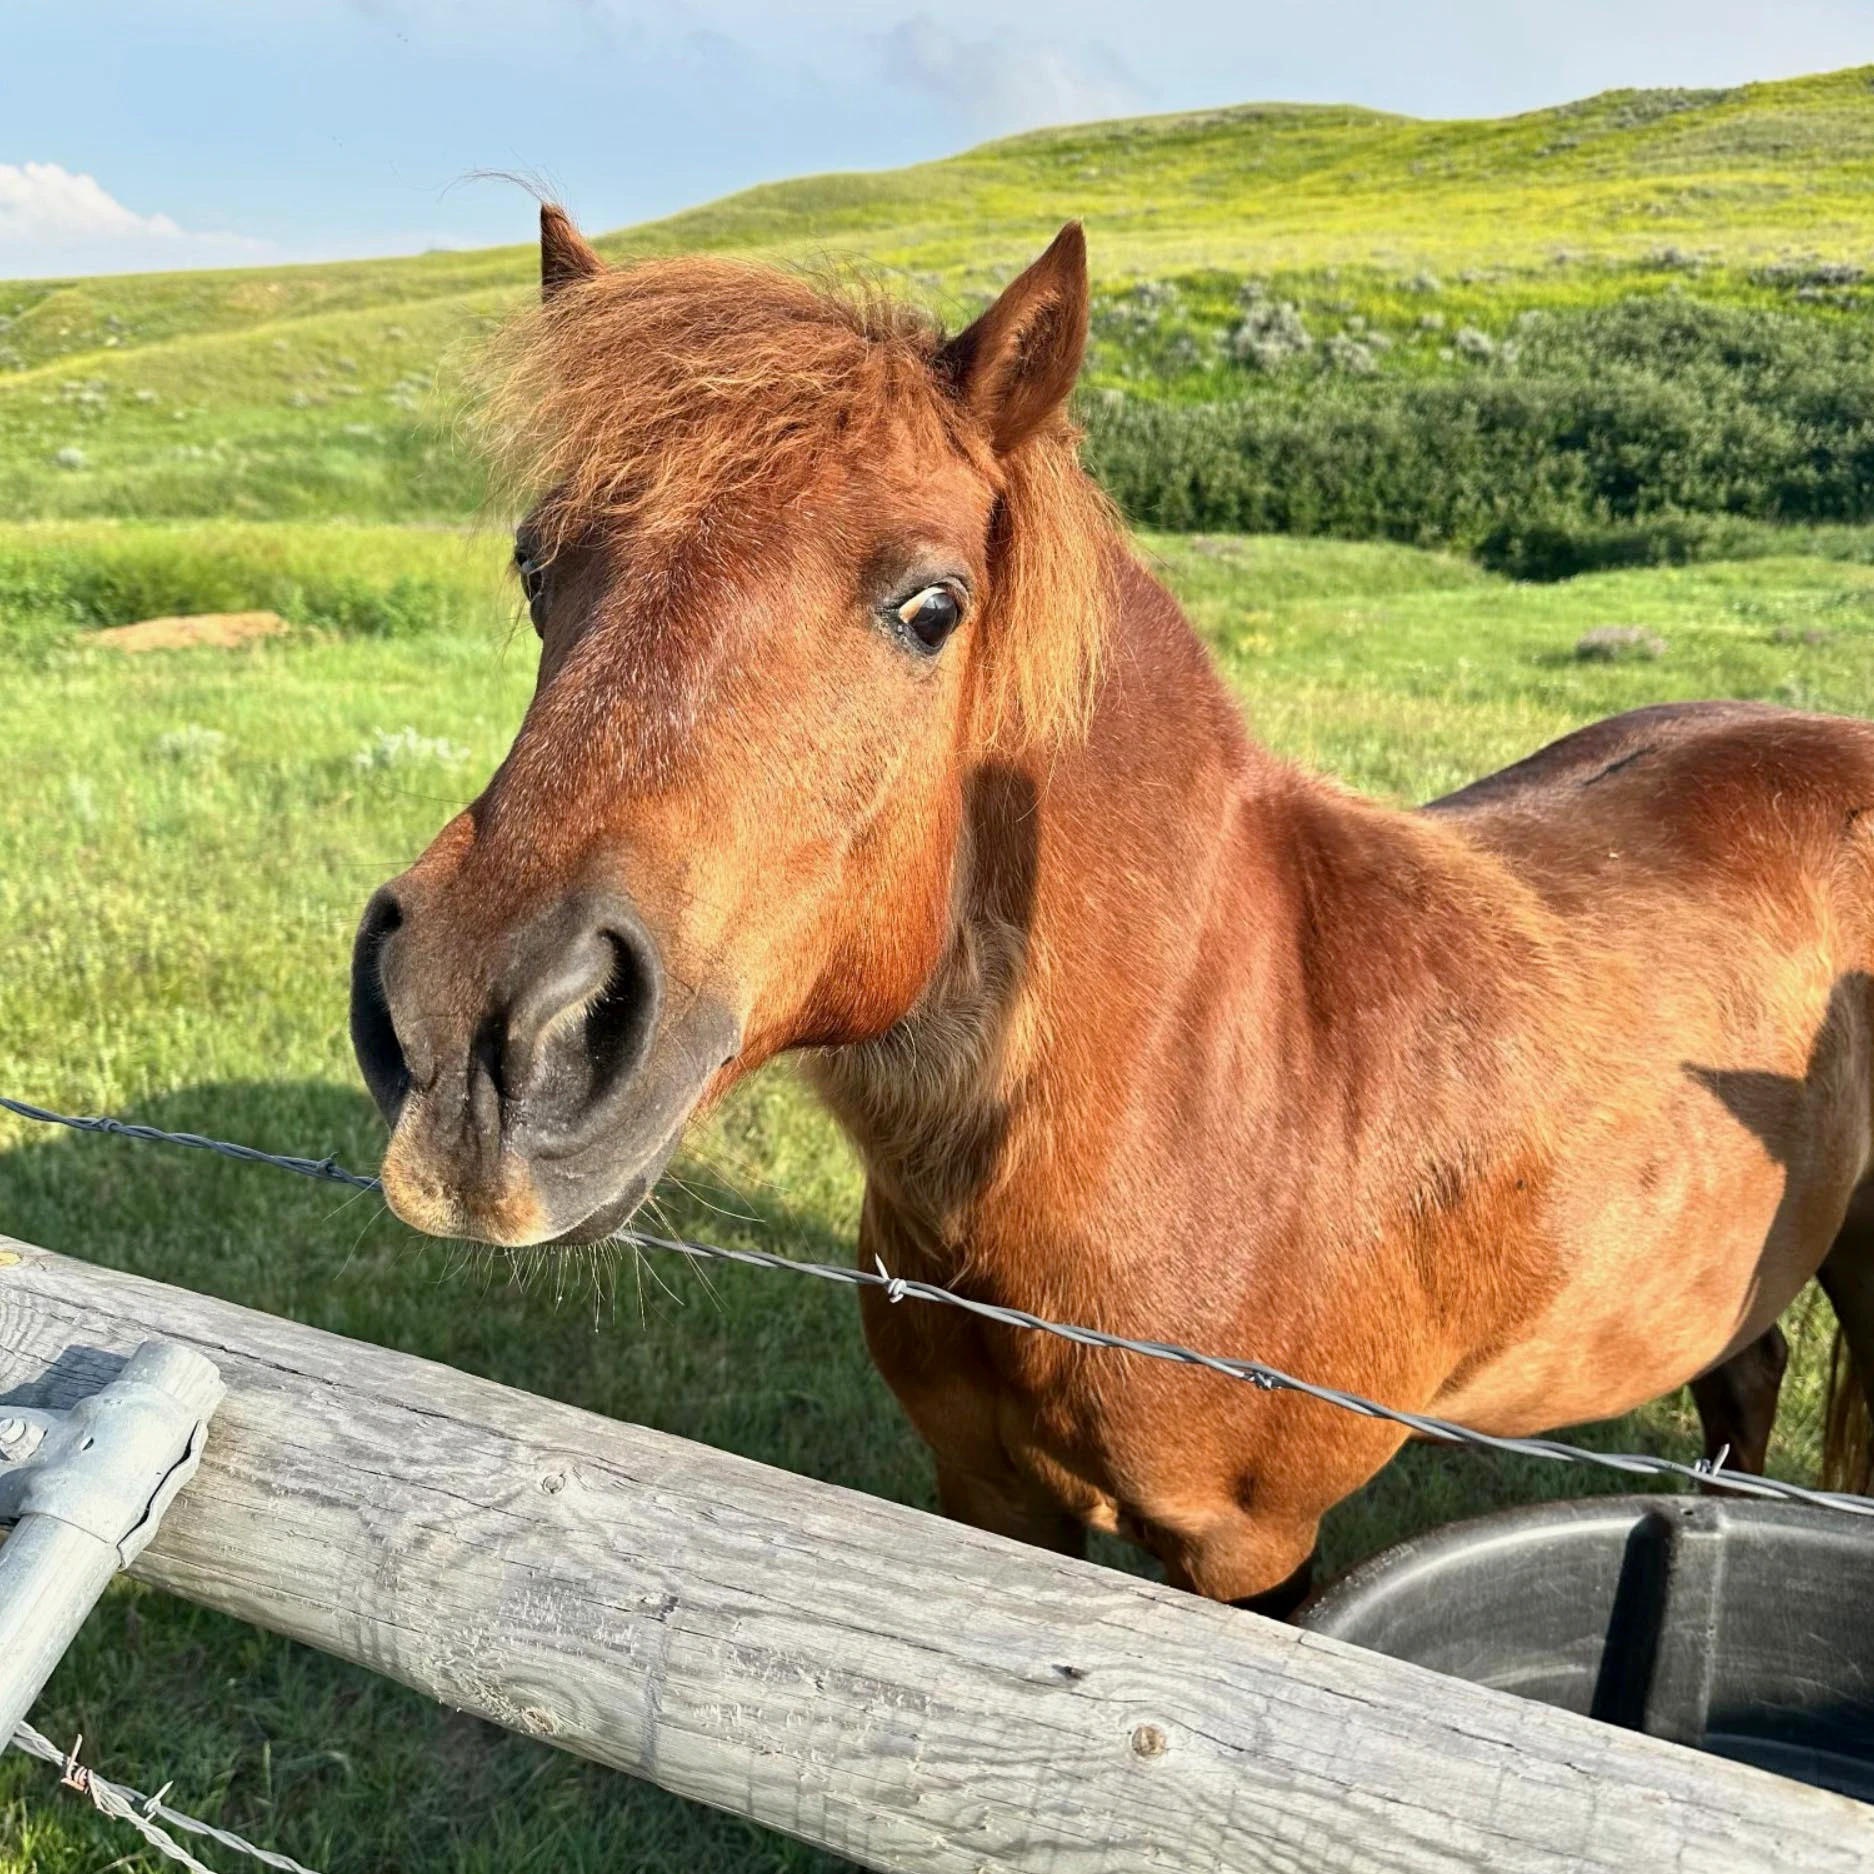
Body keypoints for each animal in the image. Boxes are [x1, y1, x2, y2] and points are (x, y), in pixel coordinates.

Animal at [349, 207, 1874, 1613]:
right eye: (536, 565)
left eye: (929, 606)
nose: (477, 1030)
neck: (1195, 1084)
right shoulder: (989, 1492)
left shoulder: (1248, 1547)